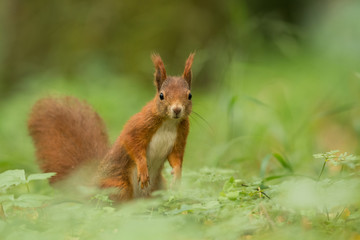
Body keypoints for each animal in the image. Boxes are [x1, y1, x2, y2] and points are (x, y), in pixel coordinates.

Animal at [28, 53, 194, 202]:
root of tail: (91, 187)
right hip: (117, 186)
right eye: (161, 95)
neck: (169, 123)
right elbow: (131, 143)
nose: (177, 110)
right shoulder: (139, 125)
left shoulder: (181, 134)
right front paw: (142, 169)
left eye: (190, 95)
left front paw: (177, 175)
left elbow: (176, 156)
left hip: (158, 189)